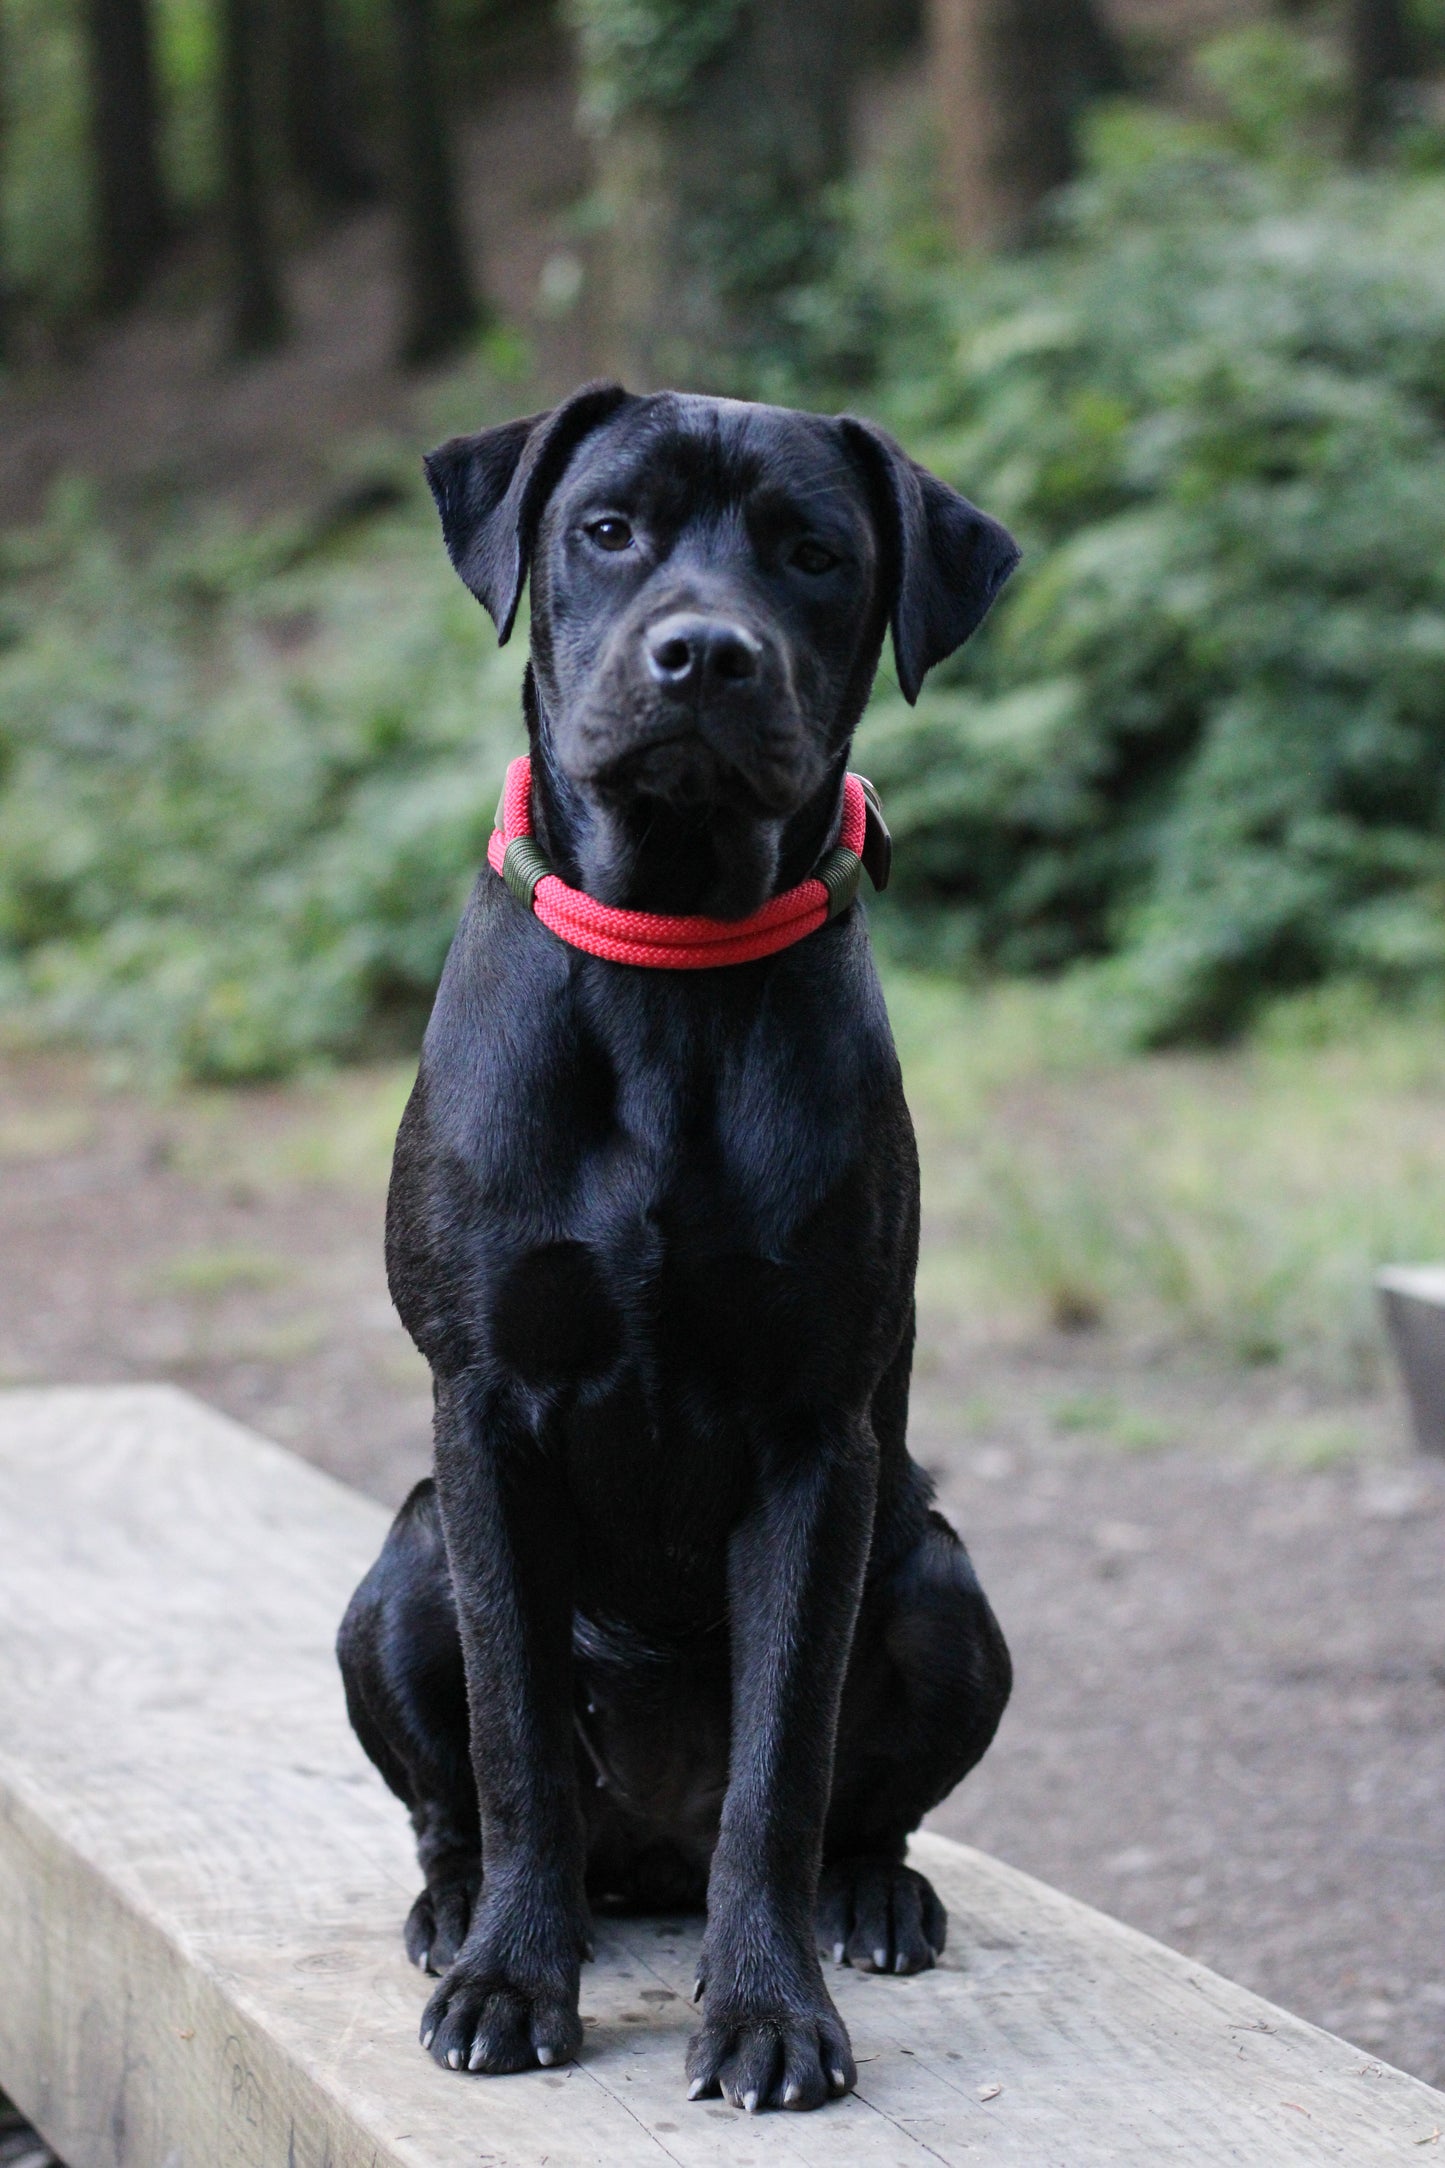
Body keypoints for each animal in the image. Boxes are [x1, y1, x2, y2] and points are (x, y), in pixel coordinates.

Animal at [337, 381, 1018, 2107]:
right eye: (607, 528)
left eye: (814, 552)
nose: (703, 653)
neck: (672, 953)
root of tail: (644, 1853)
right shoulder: (485, 1415)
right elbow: (513, 1739)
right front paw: (513, 1978)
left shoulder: (812, 1441)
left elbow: (781, 1769)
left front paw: (770, 2010)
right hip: (403, 1568)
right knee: (462, 1800)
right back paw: (461, 1909)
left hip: (943, 1586)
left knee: (849, 1813)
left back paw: (872, 1901)